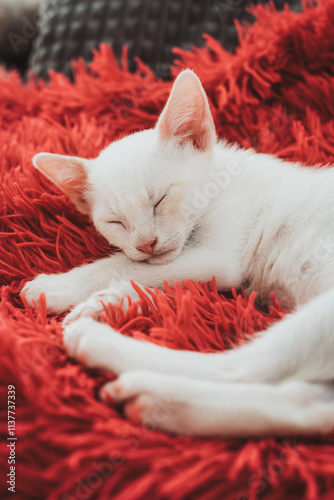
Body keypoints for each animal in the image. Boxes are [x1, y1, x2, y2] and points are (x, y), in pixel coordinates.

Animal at [22, 68, 334, 436]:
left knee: (242, 367)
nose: (146, 243)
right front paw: (116, 300)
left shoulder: (218, 256)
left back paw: (98, 343)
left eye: (160, 200)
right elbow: (157, 275)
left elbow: (125, 266)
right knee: (305, 401)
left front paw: (60, 288)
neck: (220, 179)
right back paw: (162, 403)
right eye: (115, 222)